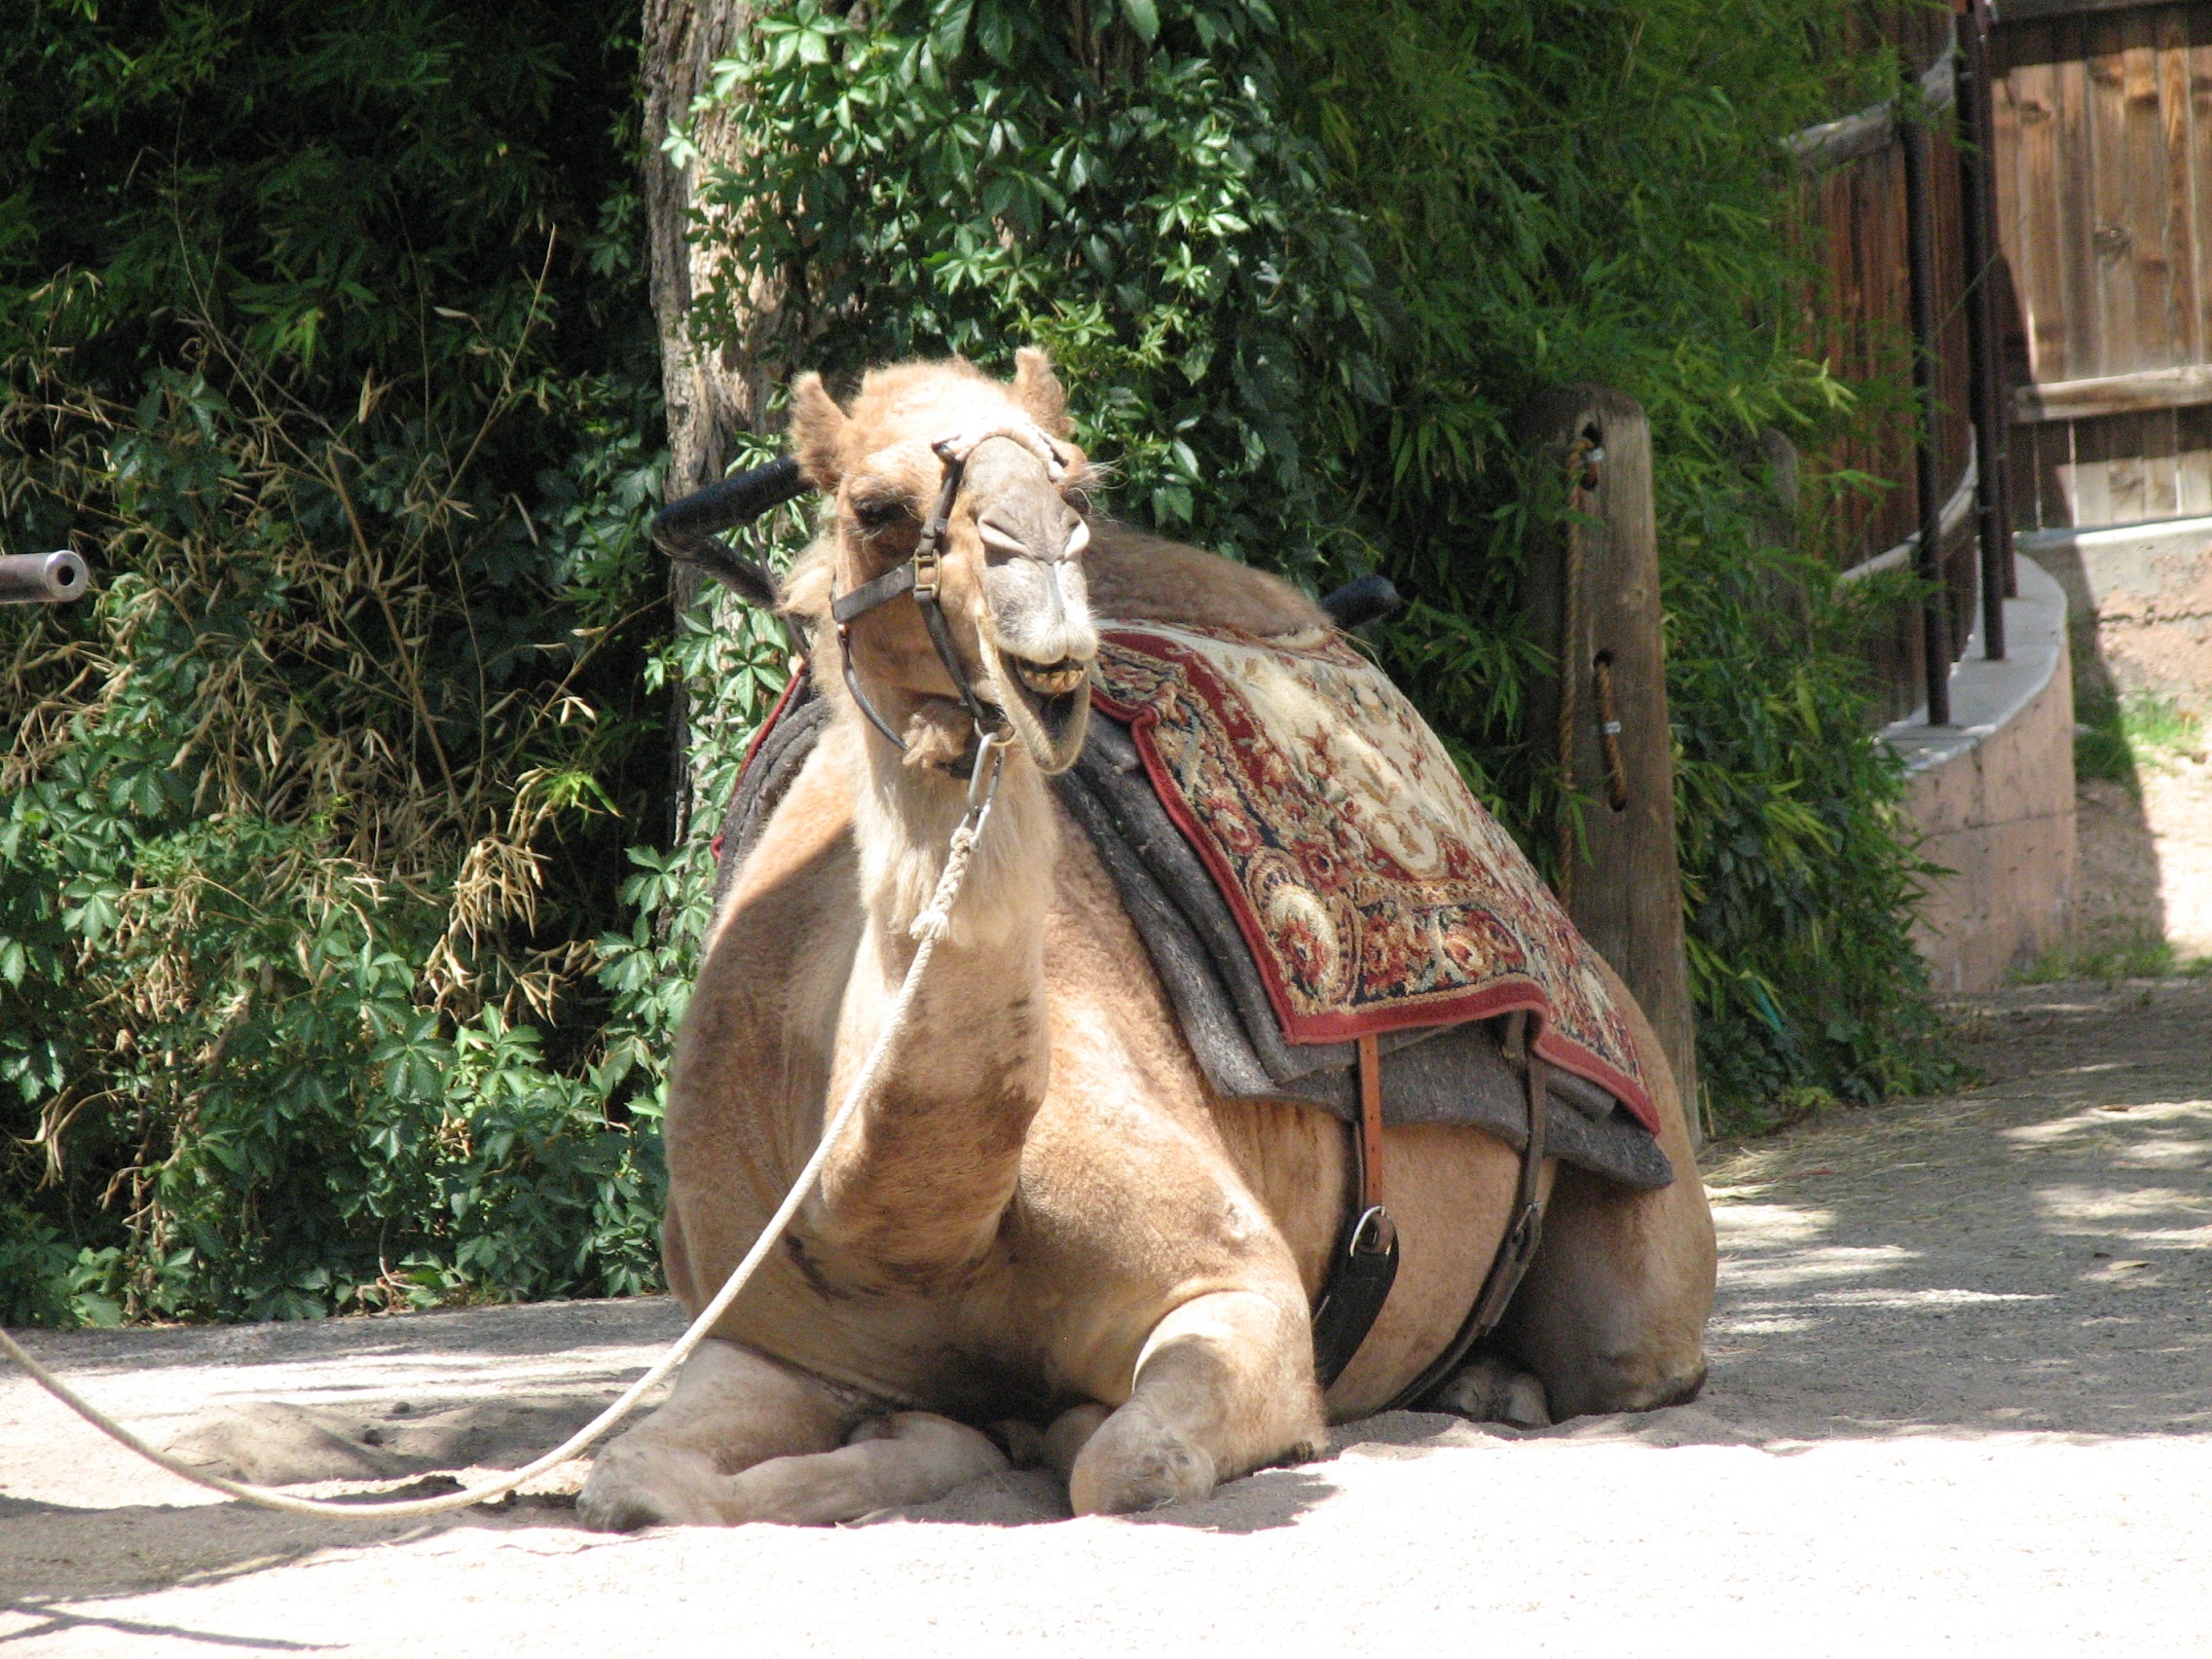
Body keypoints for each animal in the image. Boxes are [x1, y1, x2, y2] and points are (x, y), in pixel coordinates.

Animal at [574, 353, 1707, 1530]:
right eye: (875, 508)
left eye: (1070, 482)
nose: (1042, 582)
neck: (904, 1238)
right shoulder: (767, 1338)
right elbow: (634, 1480)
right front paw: (930, 1440)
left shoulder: (1239, 1290)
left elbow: (1126, 1460)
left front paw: (1046, 1431)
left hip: (1638, 1187)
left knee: (1624, 1349)